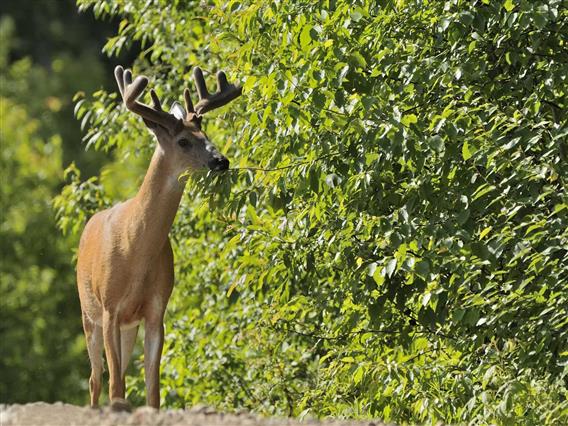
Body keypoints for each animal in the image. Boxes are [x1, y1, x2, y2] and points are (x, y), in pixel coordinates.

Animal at [76, 65, 242, 412]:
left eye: (207, 135)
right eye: (183, 141)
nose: (221, 161)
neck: (135, 250)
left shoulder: (155, 309)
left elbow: (153, 389)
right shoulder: (110, 306)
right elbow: (115, 384)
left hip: (128, 325)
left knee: (117, 373)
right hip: (89, 312)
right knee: (96, 378)